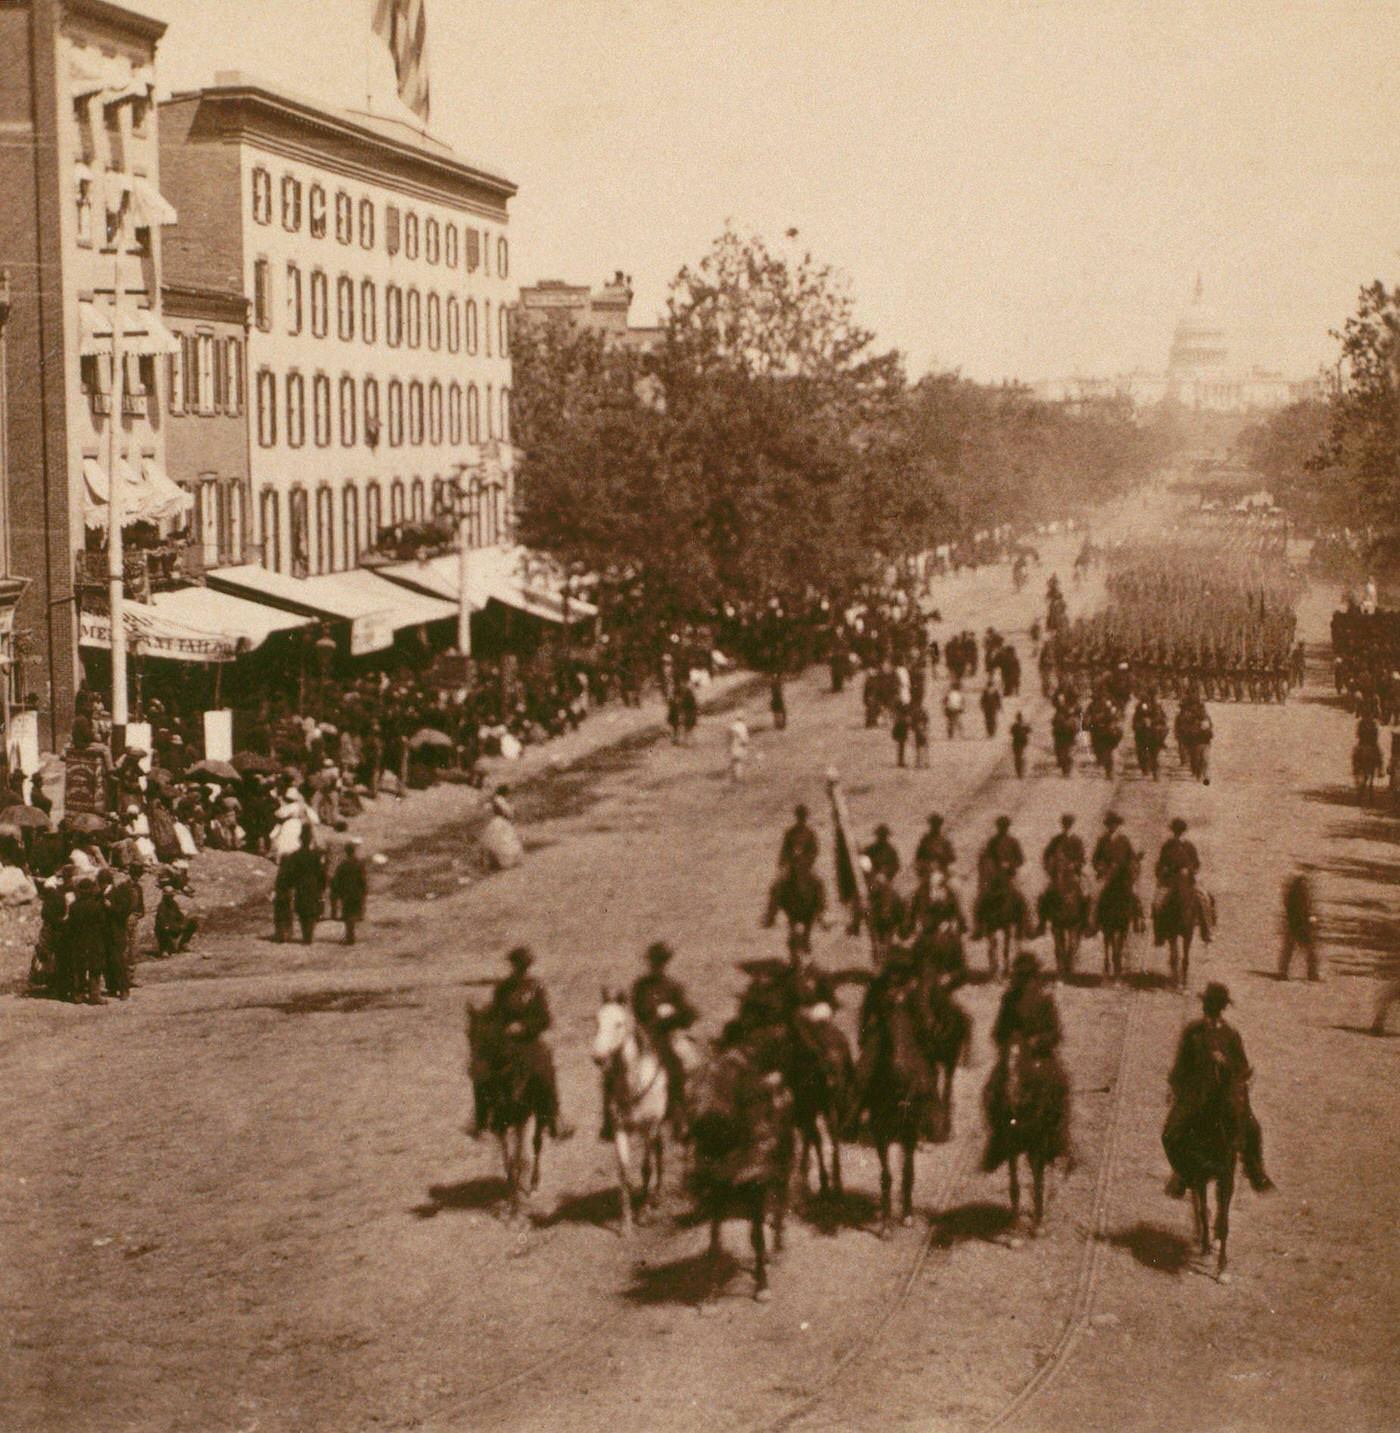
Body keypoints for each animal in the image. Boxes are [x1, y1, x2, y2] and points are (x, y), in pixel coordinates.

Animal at [467, 1003, 550, 1215]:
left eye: (490, 1039)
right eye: (468, 1035)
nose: (474, 1071)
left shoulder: (520, 1122)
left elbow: (518, 1157)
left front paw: (515, 1204)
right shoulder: (500, 1126)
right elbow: (507, 1161)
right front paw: (510, 1198)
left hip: (538, 1114)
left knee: (536, 1144)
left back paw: (533, 1185)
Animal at [593, 997, 670, 1232]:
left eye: (619, 1024)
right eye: (596, 1022)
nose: (598, 1057)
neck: (633, 1085)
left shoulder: (649, 1127)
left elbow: (646, 1167)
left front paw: (642, 1213)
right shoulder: (620, 1129)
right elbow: (624, 1172)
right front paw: (625, 1223)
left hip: (658, 1127)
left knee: (658, 1154)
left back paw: (655, 1197)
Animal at [684, 1048, 790, 1306]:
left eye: (728, 1089)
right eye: (690, 1092)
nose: (697, 1126)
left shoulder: (757, 1186)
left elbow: (758, 1237)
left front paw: (762, 1287)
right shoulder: (717, 1191)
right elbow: (714, 1244)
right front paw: (710, 1297)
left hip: (782, 1171)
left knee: (780, 1206)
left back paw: (778, 1249)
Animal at [985, 1037, 1071, 1238]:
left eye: (1023, 1064)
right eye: (1002, 1064)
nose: (1007, 1098)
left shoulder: (1039, 1142)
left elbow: (1039, 1181)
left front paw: (1038, 1224)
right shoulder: (1010, 1143)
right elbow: (1014, 1184)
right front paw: (1015, 1227)